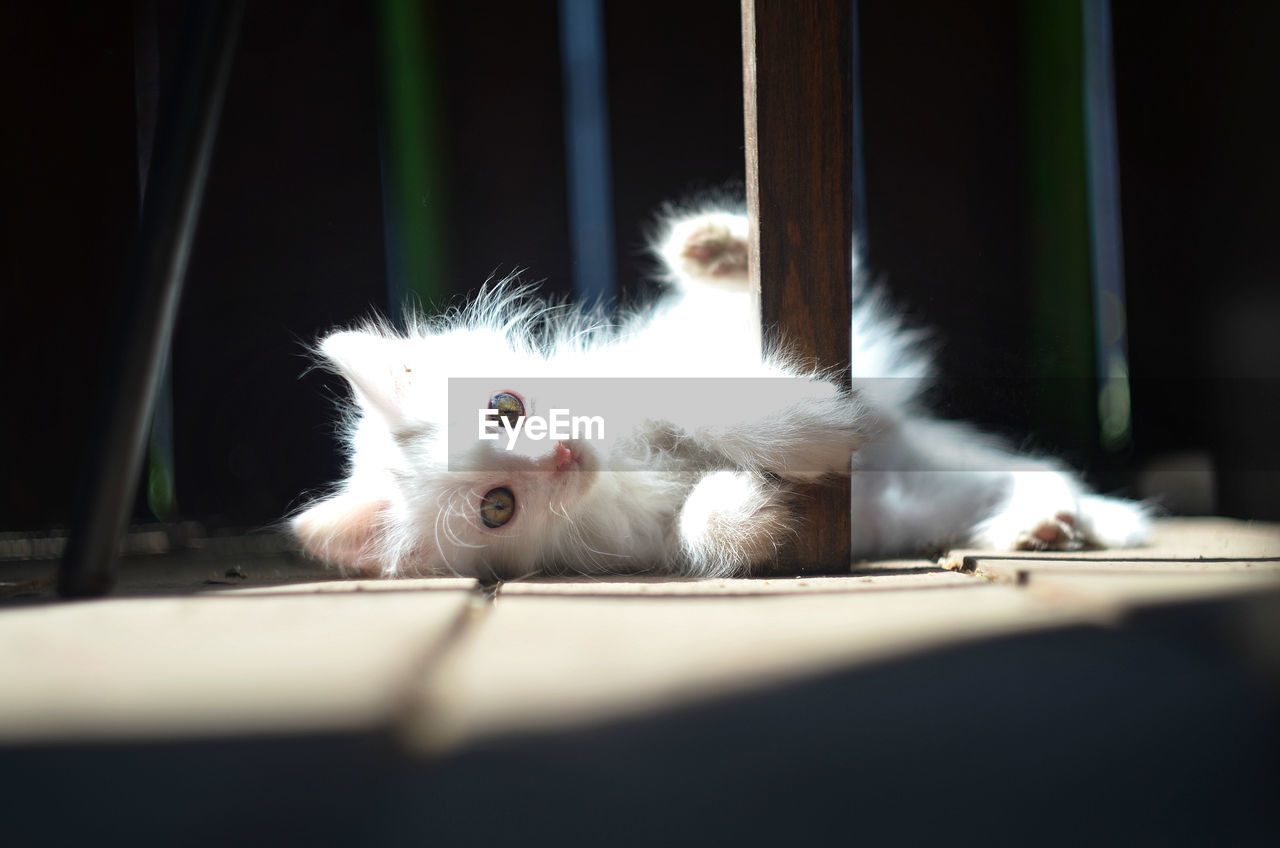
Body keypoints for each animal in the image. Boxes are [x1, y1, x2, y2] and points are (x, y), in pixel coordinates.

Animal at [290, 208, 1152, 581]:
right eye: (496, 506)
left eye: (507, 407)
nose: (563, 452)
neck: (621, 465)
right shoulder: (649, 540)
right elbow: (700, 523)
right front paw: (753, 507)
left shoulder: (651, 379)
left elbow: (704, 402)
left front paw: (809, 430)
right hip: (937, 493)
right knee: (1037, 476)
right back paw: (1042, 527)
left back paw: (713, 245)